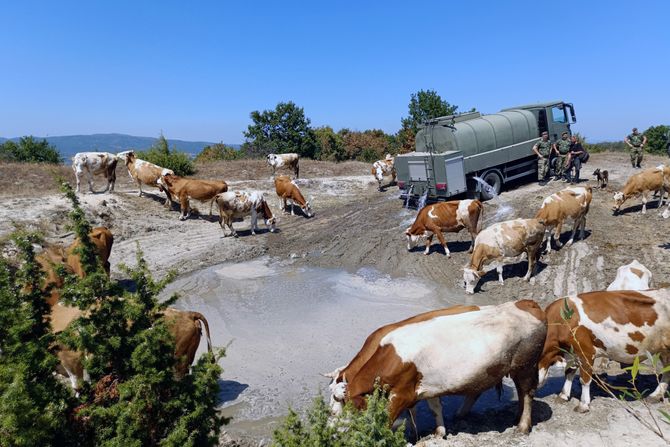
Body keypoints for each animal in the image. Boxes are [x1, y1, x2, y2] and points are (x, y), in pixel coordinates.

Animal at [540, 290, 670, 412]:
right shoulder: (571, 353)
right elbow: (569, 372)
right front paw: (563, 395)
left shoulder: (586, 352)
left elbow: (584, 379)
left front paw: (583, 405)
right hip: (664, 350)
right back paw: (655, 396)